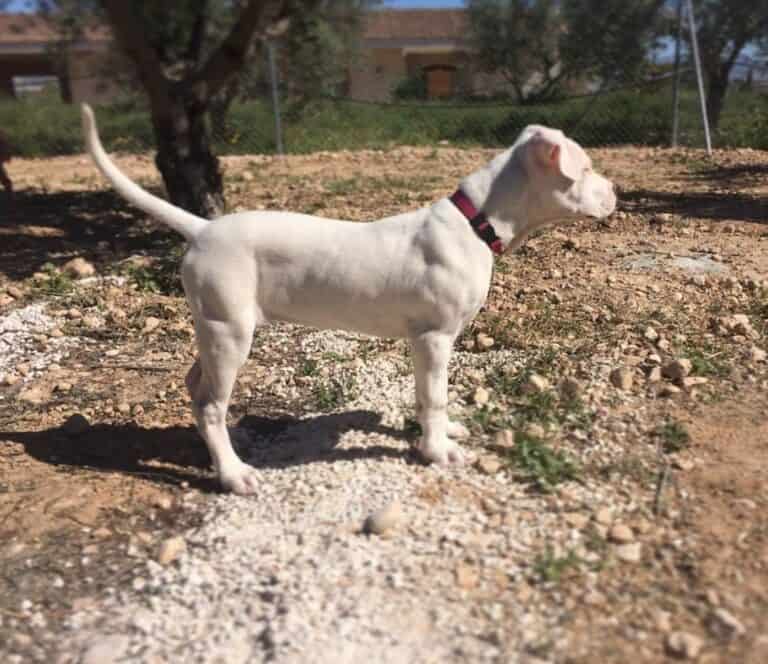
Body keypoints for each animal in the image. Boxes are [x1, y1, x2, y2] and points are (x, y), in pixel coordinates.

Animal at [81, 101, 616, 490]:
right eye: (587, 168)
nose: (616, 192)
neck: (475, 223)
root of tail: (204, 228)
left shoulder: (424, 344)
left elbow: (428, 395)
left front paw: (442, 433)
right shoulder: (434, 337)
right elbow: (436, 397)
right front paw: (438, 451)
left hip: (213, 330)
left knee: (198, 391)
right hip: (229, 333)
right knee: (212, 404)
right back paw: (233, 475)